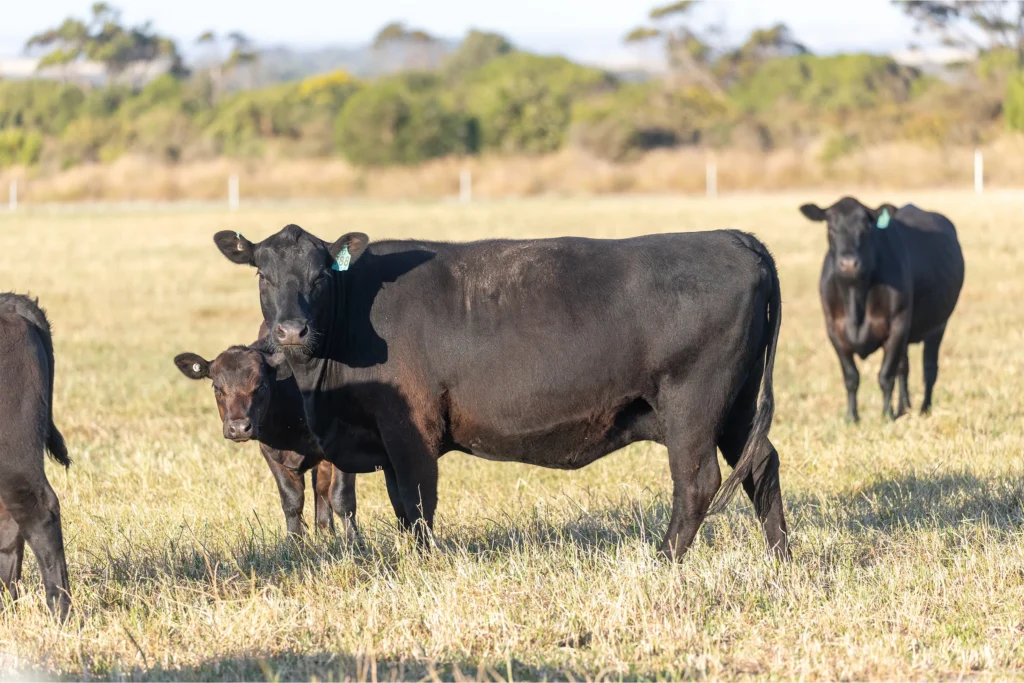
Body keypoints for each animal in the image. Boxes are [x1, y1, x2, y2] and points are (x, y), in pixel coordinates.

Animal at [174, 332, 358, 540]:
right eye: (216, 388)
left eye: (261, 387)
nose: (239, 428)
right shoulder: (271, 452)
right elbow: (292, 500)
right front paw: (294, 542)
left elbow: (342, 499)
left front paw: (355, 543)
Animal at [212, 225, 788, 560]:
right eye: (263, 273)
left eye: (319, 276)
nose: (291, 331)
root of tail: (734, 238)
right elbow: (401, 506)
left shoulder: (411, 432)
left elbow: (417, 504)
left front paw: (423, 566)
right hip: (737, 404)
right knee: (761, 465)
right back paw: (780, 558)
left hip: (694, 405)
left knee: (697, 482)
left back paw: (662, 560)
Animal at [799, 197, 964, 422]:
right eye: (831, 228)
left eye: (865, 228)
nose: (848, 264)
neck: (856, 295)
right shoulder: (834, 329)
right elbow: (851, 376)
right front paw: (851, 417)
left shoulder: (897, 326)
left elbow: (886, 375)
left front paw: (887, 415)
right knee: (904, 368)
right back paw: (904, 407)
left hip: (938, 326)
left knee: (929, 368)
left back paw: (924, 408)